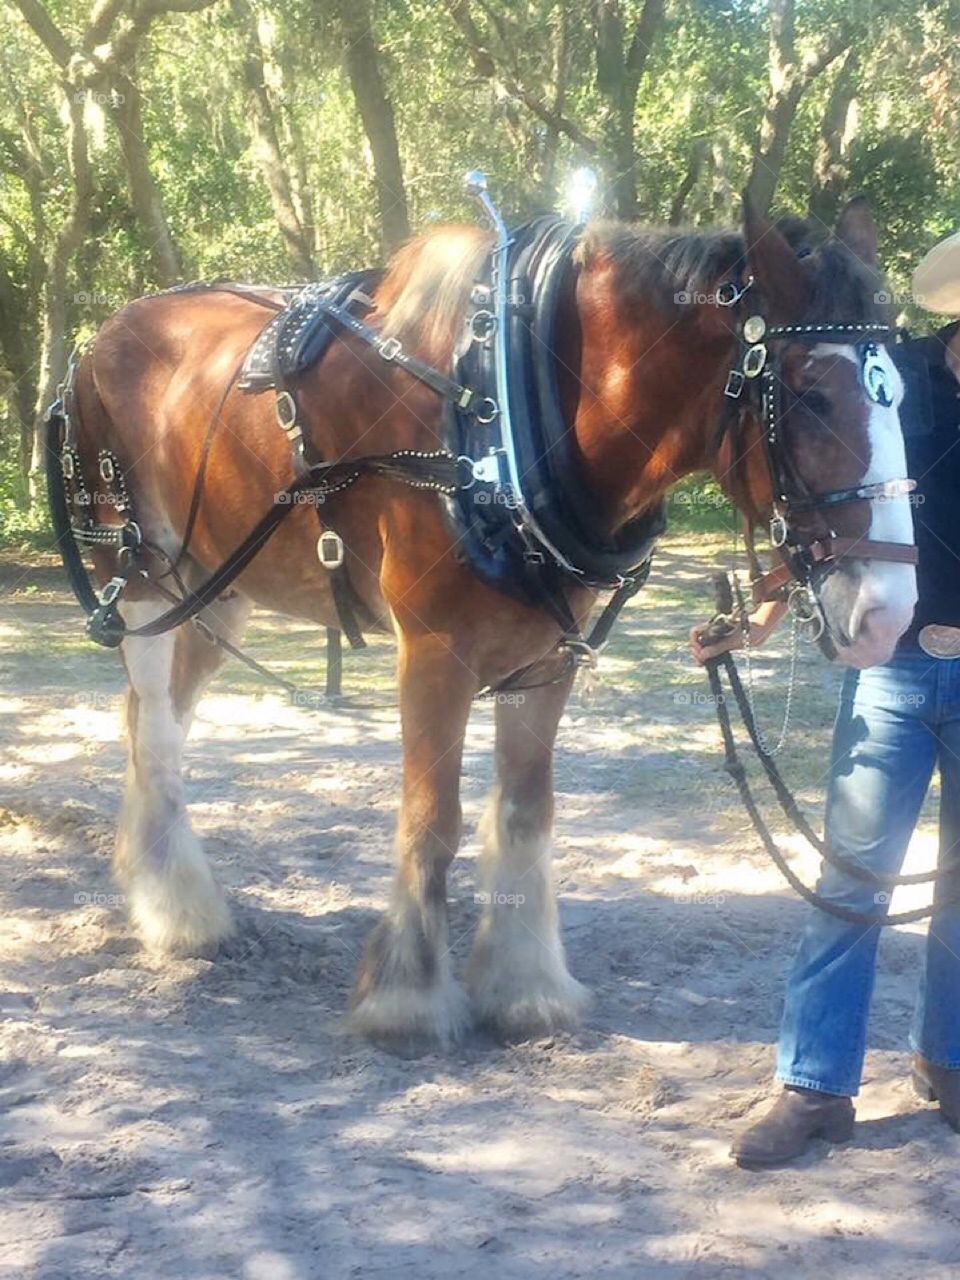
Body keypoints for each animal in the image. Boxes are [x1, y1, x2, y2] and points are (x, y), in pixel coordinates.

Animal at [53, 195, 917, 1048]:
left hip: (217, 592)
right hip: (142, 580)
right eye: (809, 395)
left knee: (152, 722)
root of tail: (103, 339)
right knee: (156, 732)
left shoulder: (546, 657)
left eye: (899, 395)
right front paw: (405, 997)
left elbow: (528, 812)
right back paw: (178, 909)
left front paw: (523, 985)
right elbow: (434, 819)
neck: (499, 405)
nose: (890, 612)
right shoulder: (433, 652)